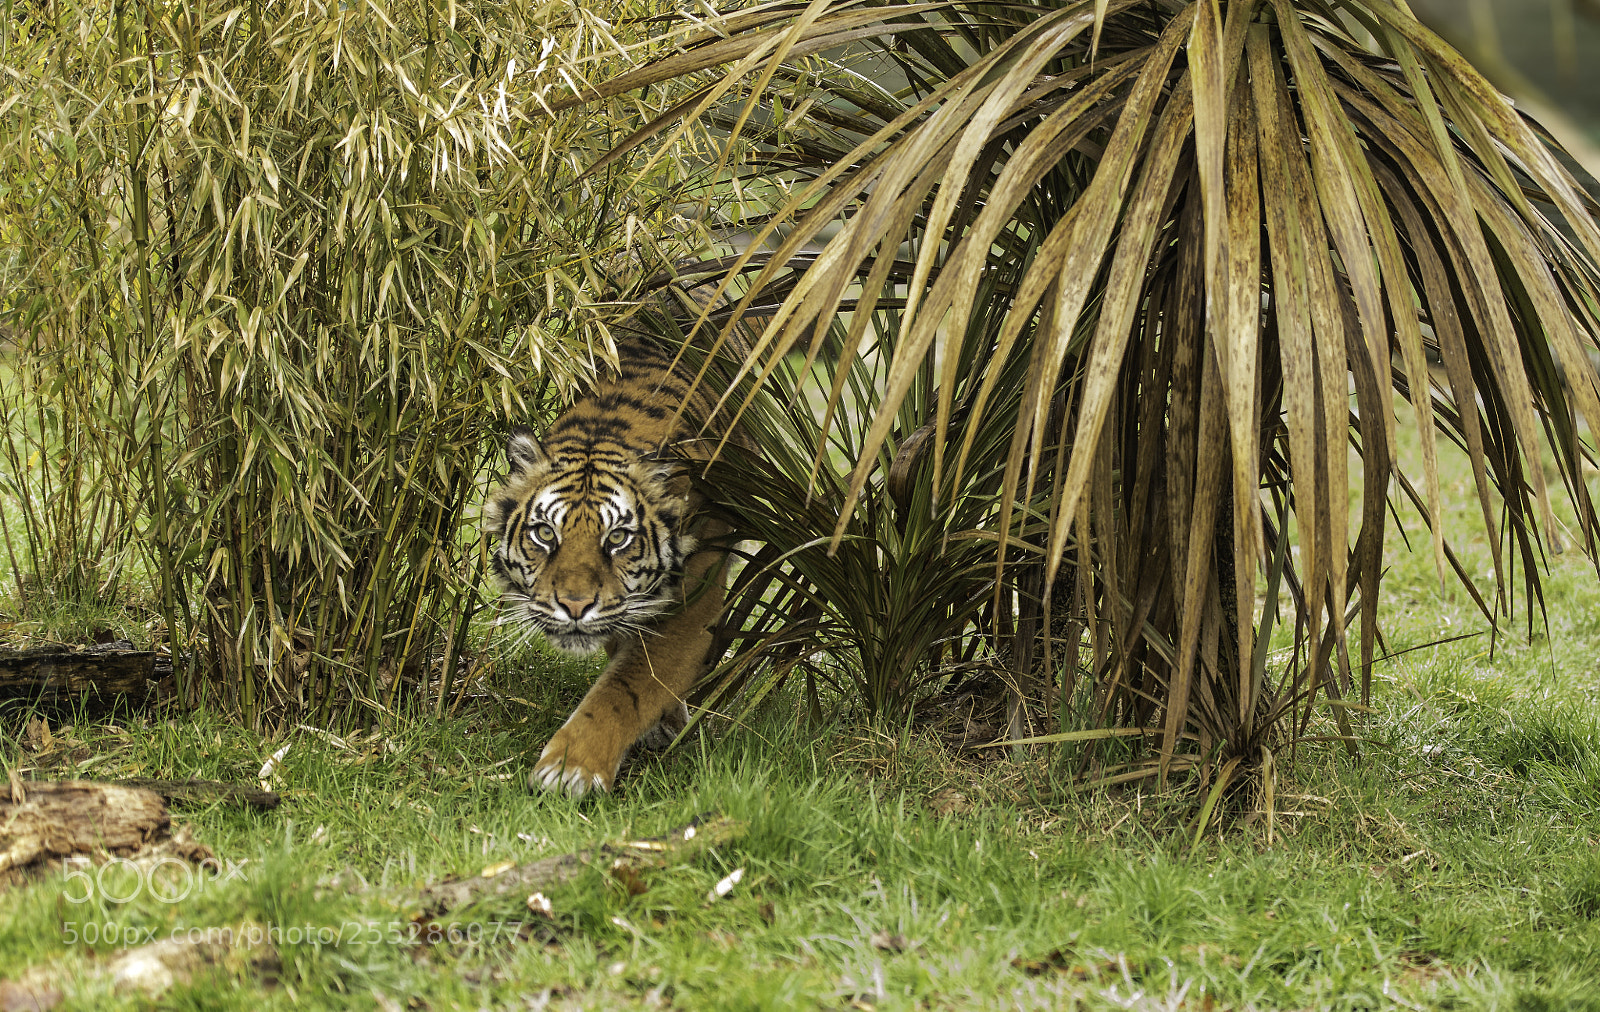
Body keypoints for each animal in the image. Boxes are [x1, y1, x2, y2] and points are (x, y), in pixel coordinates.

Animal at [483, 332, 736, 797]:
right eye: (545, 534)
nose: (575, 606)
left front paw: (570, 769)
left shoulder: (694, 600)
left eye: (617, 538)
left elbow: (626, 689)